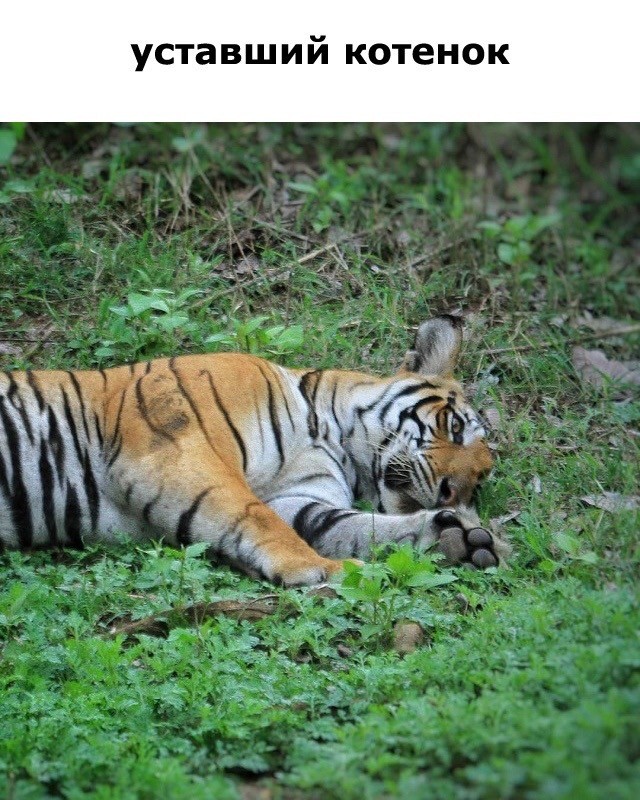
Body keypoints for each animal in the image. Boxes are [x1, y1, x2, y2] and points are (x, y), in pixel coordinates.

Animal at [1, 314, 510, 588]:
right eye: (456, 427)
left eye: (480, 481)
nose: (450, 493)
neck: (333, 440)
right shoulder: (177, 451)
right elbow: (255, 517)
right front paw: (325, 570)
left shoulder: (298, 498)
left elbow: (353, 526)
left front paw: (466, 538)